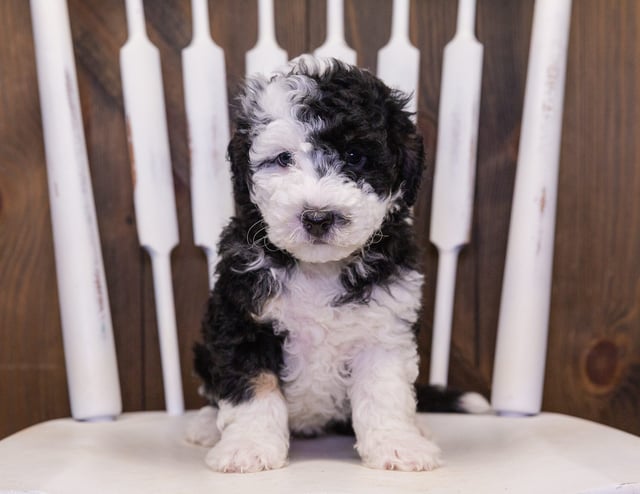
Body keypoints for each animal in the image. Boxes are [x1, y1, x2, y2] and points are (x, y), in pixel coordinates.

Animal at [188, 55, 488, 474]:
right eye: (283, 159)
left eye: (355, 157)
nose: (317, 217)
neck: (319, 268)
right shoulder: (241, 318)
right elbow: (253, 387)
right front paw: (247, 446)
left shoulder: (384, 328)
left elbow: (384, 392)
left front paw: (397, 445)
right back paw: (205, 425)